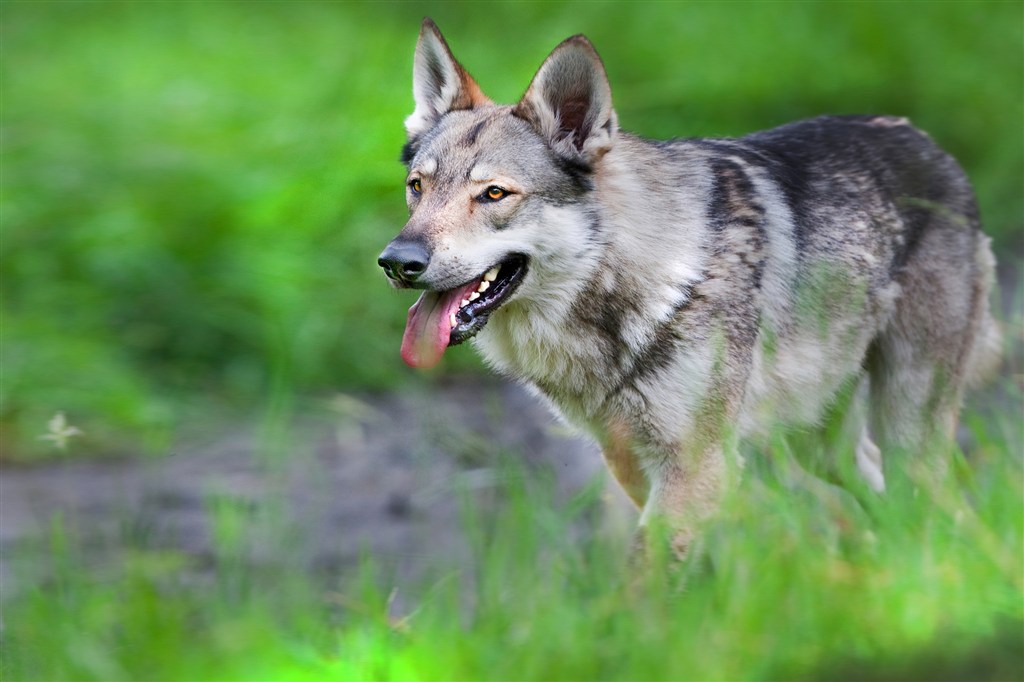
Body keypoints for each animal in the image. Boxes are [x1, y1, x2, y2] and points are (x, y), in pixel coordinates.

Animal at [376, 19, 999, 552]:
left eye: (494, 194)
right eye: (417, 187)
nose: (397, 261)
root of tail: (929, 143)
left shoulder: (697, 467)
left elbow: (646, 586)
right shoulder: (633, 461)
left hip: (907, 431)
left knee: (934, 510)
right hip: (827, 446)